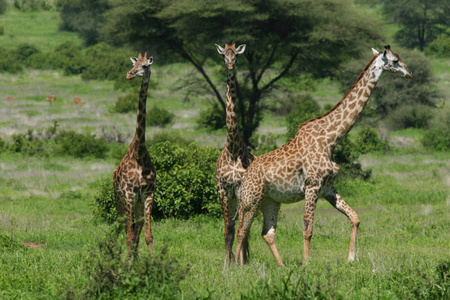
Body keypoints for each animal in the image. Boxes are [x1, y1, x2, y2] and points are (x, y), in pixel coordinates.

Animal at [234, 45, 414, 266]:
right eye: (395, 61)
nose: (409, 73)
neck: (331, 140)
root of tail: (244, 176)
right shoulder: (312, 186)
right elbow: (307, 229)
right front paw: (306, 264)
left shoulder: (328, 188)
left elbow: (355, 218)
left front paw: (351, 258)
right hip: (251, 199)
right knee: (241, 230)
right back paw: (234, 266)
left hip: (270, 200)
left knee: (266, 232)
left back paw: (281, 266)